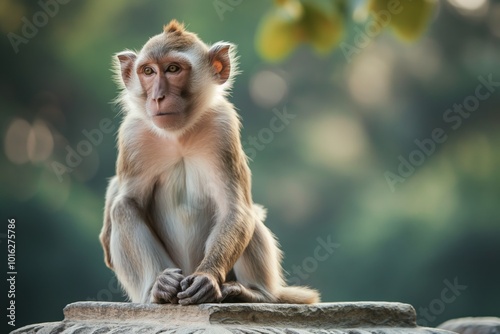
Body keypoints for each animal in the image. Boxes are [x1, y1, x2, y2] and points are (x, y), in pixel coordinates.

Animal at [100, 18, 320, 306]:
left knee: (250, 217)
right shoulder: (133, 136)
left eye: (173, 69)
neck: (179, 137)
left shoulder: (223, 127)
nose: (157, 97)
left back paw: (253, 293)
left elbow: (235, 208)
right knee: (122, 210)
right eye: (148, 71)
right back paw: (157, 290)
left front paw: (207, 278)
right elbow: (127, 201)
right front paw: (158, 283)